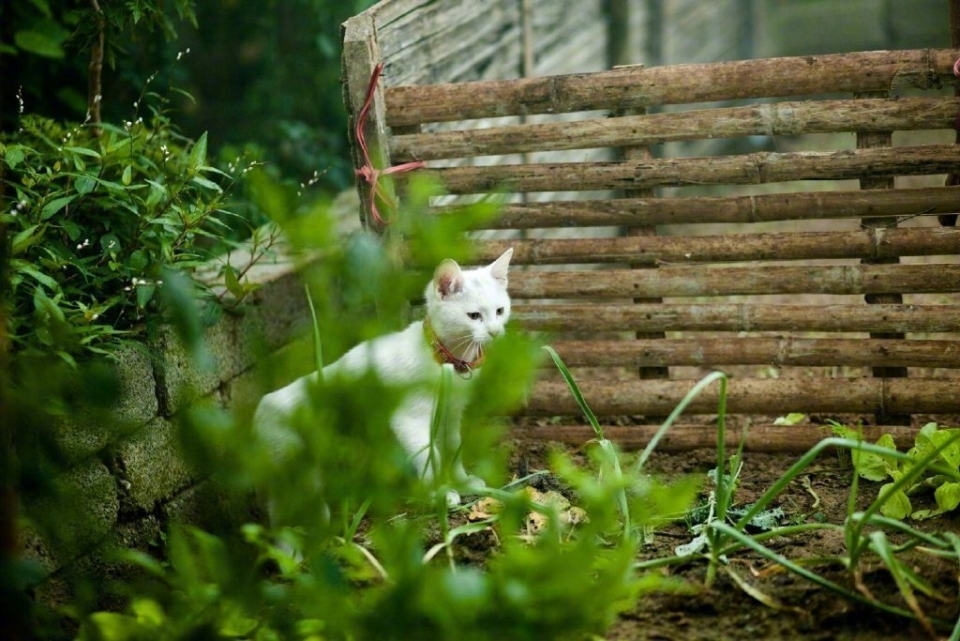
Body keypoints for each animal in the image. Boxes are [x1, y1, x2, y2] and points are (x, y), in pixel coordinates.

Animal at [251, 248, 512, 508]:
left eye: (500, 311)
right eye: (474, 316)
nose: (496, 332)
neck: (448, 363)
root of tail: (262, 405)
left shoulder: (451, 413)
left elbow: (452, 447)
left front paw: (462, 481)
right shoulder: (409, 419)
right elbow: (428, 455)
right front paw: (439, 493)